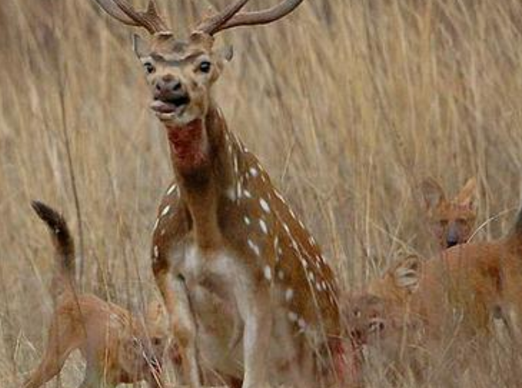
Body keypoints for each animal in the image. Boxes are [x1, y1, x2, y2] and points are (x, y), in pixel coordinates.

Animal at [23, 203, 167, 388]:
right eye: (136, 342)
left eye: (157, 340)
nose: (152, 361)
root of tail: (74, 295)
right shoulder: (106, 380)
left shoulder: (154, 378)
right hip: (54, 363)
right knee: (27, 380)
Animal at [93, 0, 350, 388]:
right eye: (150, 64)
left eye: (204, 64)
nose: (167, 85)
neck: (206, 235)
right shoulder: (163, 265)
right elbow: (187, 343)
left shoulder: (259, 276)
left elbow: (255, 365)